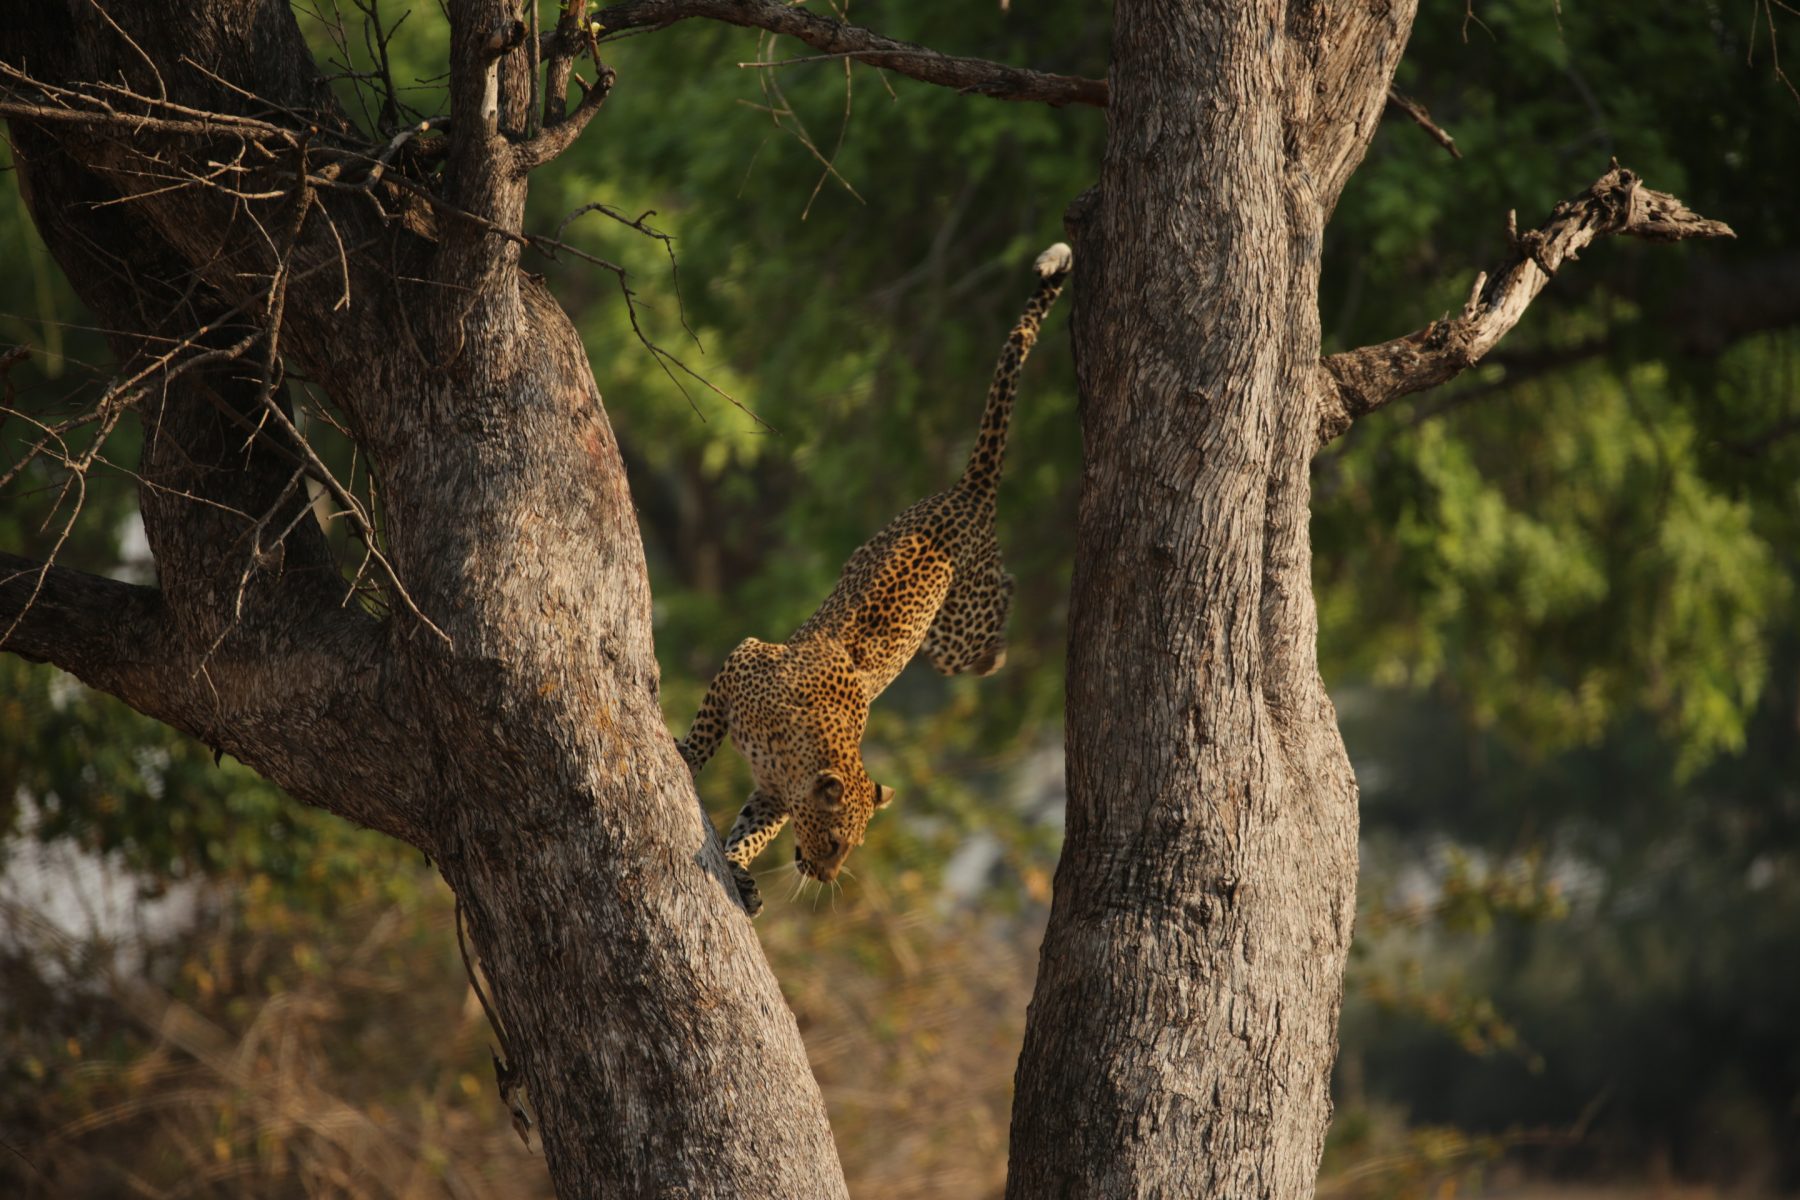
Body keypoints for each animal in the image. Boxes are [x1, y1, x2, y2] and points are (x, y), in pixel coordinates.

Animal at [676, 244, 1065, 921]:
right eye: (836, 840)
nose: (826, 874)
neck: (795, 746)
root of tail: (968, 491)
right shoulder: (743, 658)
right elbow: (706, 734)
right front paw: (689, 757)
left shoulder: (772, 791)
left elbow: (750, 832)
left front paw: (741, 869)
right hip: (939, 623)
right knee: (1002, 594)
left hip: (948, 637)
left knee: (1005, 592)